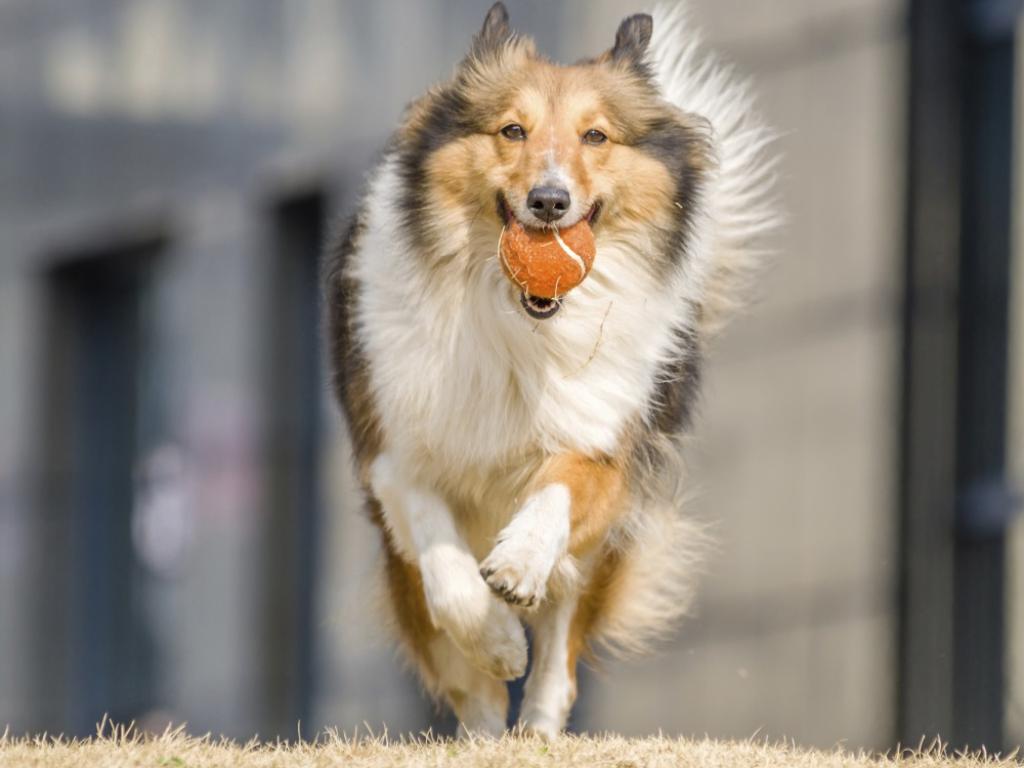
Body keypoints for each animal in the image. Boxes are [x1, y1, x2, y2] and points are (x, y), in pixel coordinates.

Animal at [325, 3, 774, 741]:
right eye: (513, 129)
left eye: (596, 135)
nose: (550, 201)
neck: (521, 325)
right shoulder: (394, 453)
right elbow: (446, 571)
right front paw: (496, 635)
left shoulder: (601, 439)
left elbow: (556, 494)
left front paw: (516, 565)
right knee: (464, 674)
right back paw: (485, 724)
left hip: (599, 552)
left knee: (561, 656)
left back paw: (534, 725)